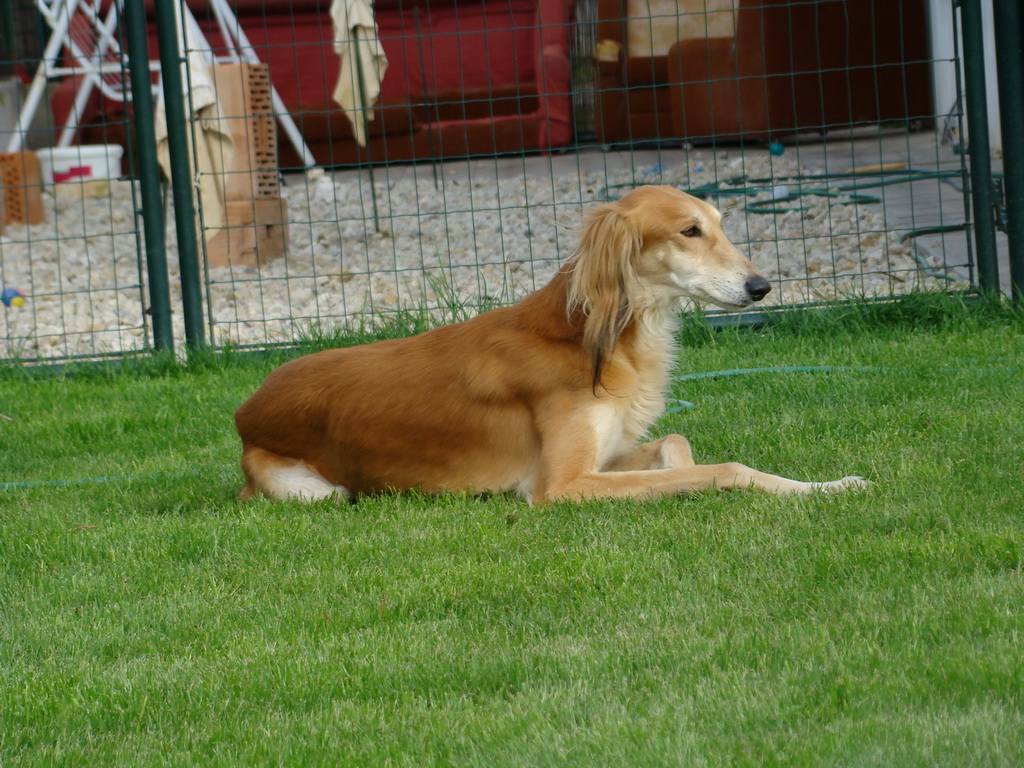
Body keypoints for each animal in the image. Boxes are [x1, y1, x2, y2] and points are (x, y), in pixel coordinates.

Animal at [235, 183, 868, 501]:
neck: (595, 339)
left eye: (719, 223)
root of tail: (245, 409)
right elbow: (723, 469)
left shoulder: (607, 457)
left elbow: (676, 443)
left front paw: (831, 481)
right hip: (313, 489)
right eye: (689, 230)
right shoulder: (560, 485)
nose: (762, 287)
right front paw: (823, 487)